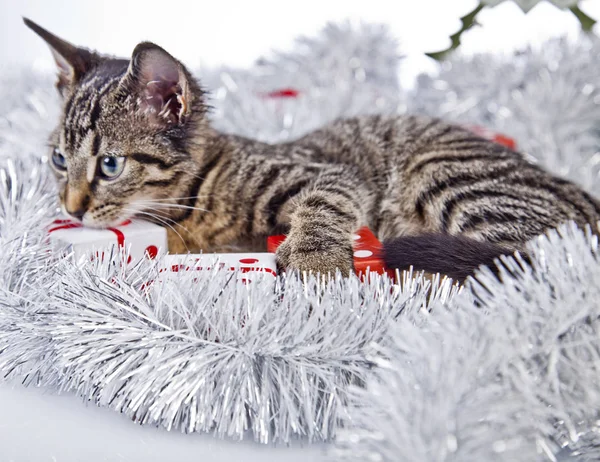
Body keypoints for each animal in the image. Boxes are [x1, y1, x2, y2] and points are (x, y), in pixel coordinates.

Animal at [24, 19, 600, 282]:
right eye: (58, 160)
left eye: (110, 164)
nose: (71, 207)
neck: (194, 199)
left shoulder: (328, 173)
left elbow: (323, 200)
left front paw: (315, 259)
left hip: (445, 172)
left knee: (534, 262)